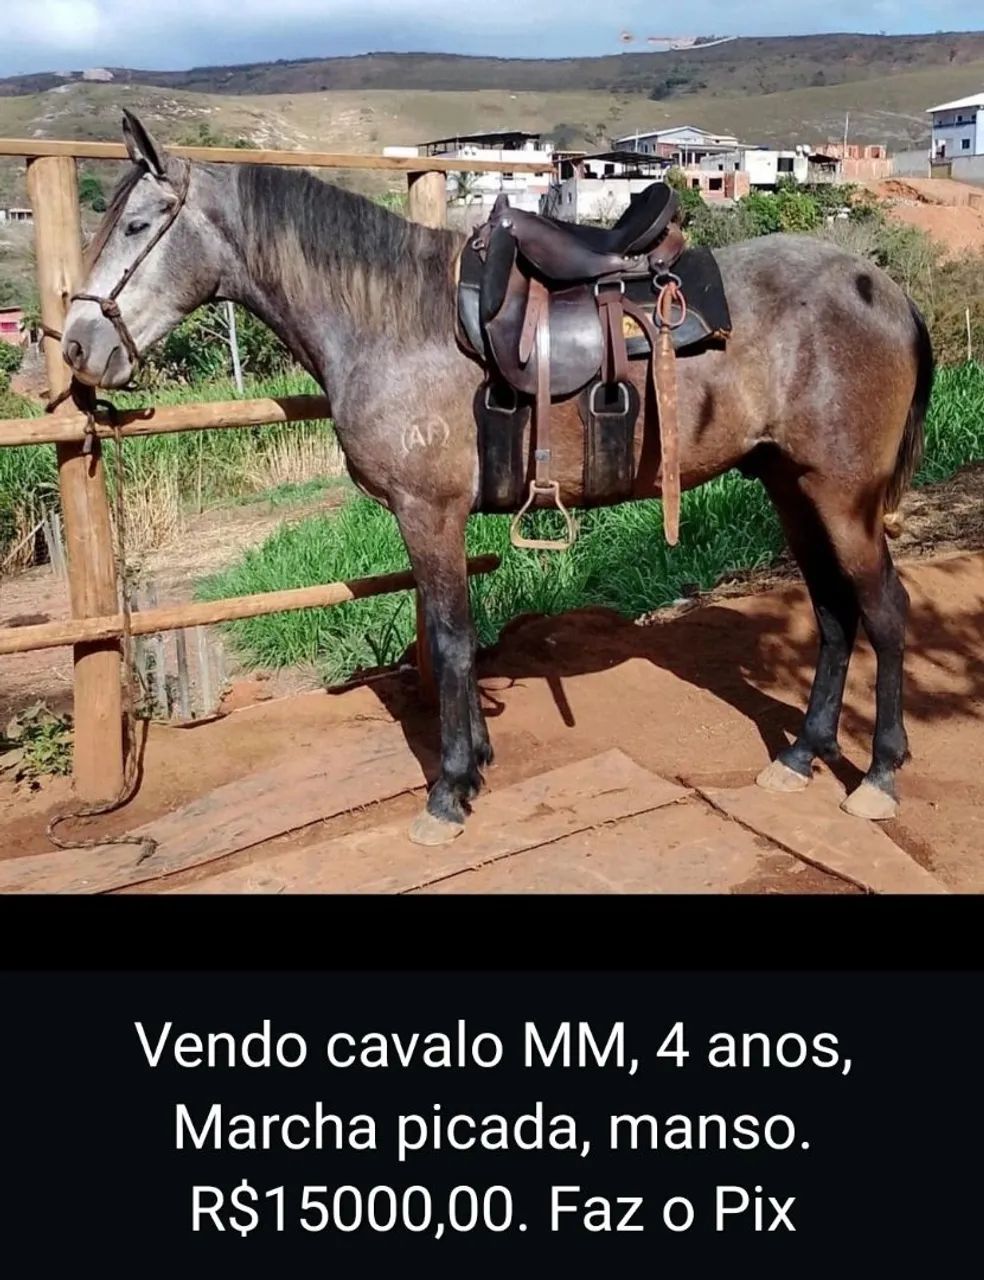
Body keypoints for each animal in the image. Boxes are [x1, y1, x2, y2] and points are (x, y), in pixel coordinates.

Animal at [62, 112, 935, 846]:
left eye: (136, 225)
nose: (73, 347)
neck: (391, 319)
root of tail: (882, 287)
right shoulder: (423, 519)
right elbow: (455, 638)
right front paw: (475, 762)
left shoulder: (428, 511)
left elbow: (451, 641)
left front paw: (449, 790)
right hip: (792, 487)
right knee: (833, 614)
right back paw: (801, 755)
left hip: (843, 496)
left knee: (885, 610)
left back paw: (879, 775)